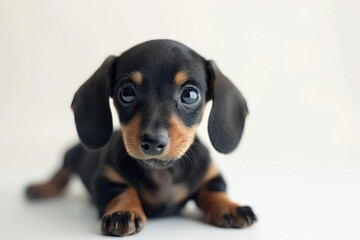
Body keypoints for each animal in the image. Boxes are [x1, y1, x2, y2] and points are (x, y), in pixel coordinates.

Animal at [26, 39, 256, 236]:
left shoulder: (211, 177)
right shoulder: (106, 179)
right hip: (72, 154)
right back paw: (40, 188)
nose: (153, 142)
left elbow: (214, 192)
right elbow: (123, 191)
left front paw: (230, 207)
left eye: (190, 95)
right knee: (61, 173)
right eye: (127, 92)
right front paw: (123, 212)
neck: (162, 173)